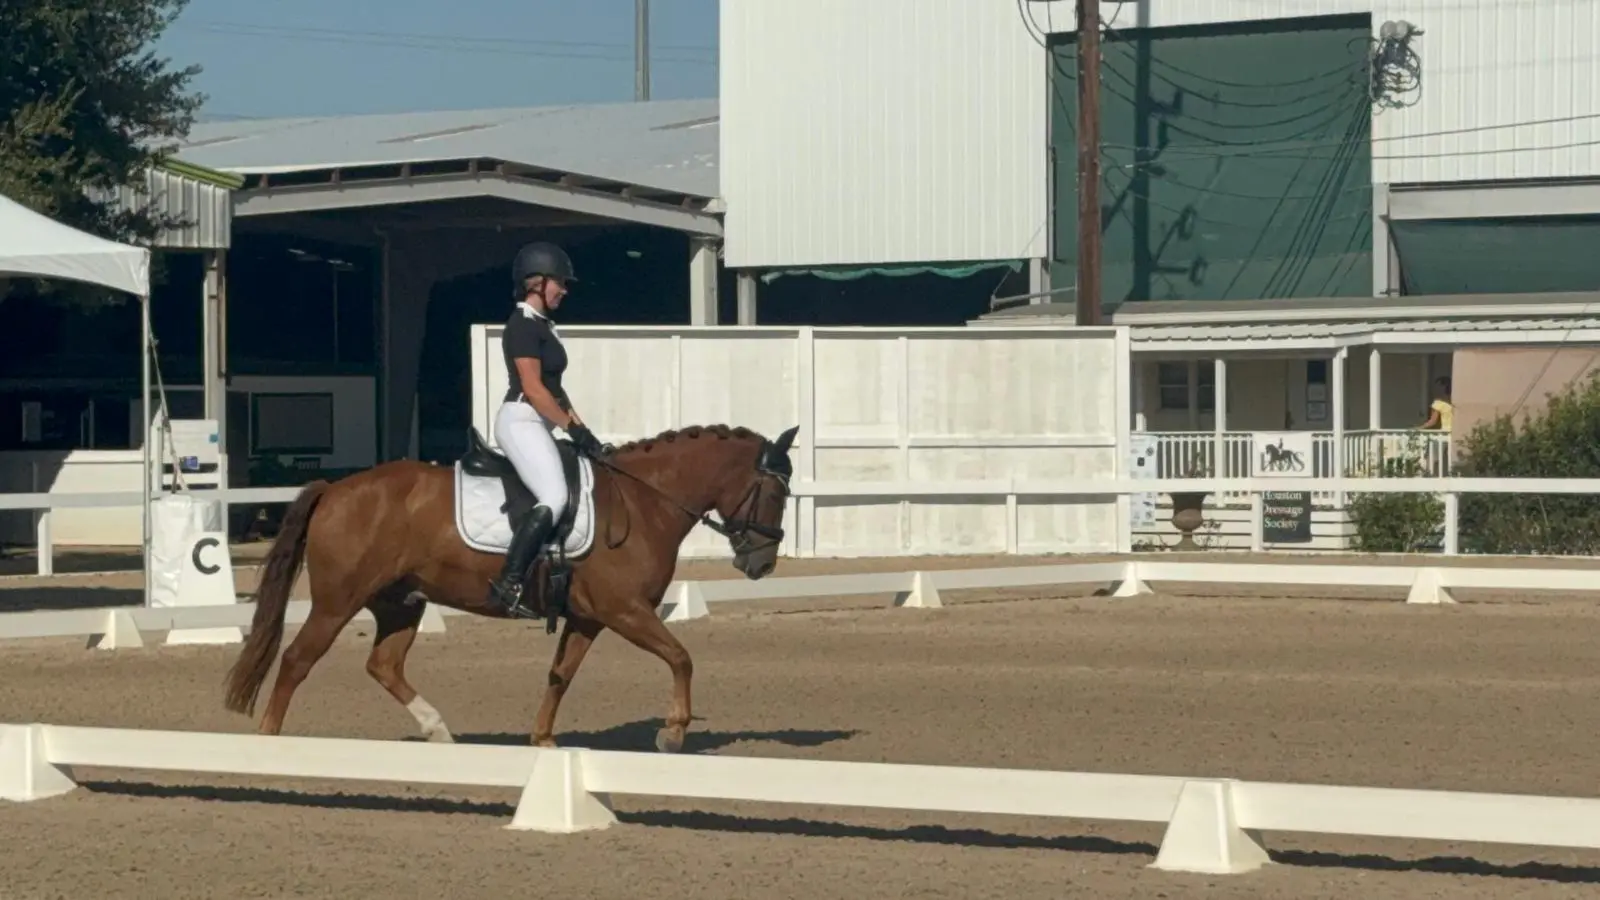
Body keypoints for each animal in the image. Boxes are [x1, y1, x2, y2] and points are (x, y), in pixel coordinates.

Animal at [222, 419, 796, 749]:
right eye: (774, 493)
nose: (762, 563)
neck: (643, 500)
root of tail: (336, 488)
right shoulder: (625, 610)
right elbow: (681, 657)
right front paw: (674, 731)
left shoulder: (589, 617)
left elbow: (560, 675)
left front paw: (542, 742)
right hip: (337, 601)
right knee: (297, 660)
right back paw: (269, 744)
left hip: (401, 602)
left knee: (383, 664)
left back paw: (439, 731)